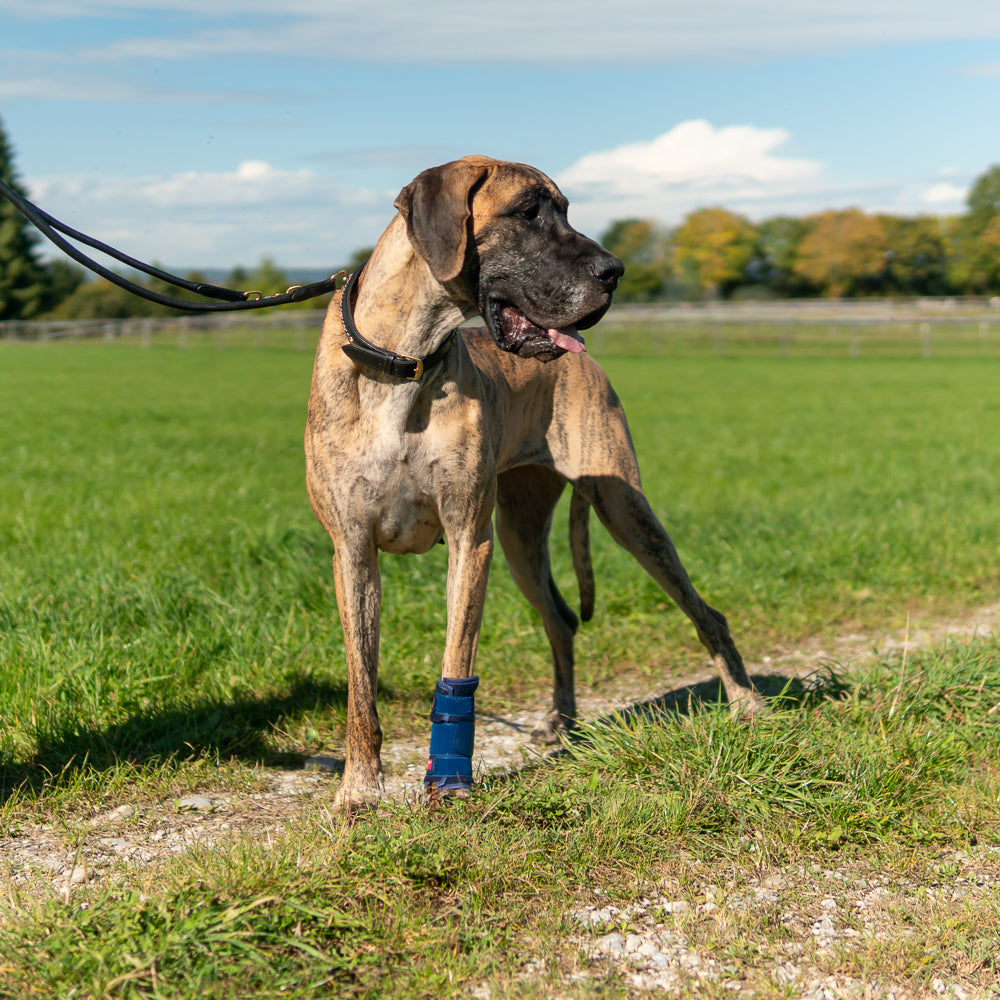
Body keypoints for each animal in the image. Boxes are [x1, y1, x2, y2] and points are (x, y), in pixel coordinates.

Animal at [300, 158, 760, 812]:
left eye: (566, 210)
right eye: (526, 212)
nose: (615, 271)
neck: (405, 360)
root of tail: (585, 361)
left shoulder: (470, 540)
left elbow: (456, 661)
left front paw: (449, 780)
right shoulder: (353, 550)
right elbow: (361, 682)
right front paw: (360, 786)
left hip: (621, 509)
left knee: (705, 611)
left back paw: (746, 702)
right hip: (522, 533)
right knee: (562, 619)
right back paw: (560, 722)